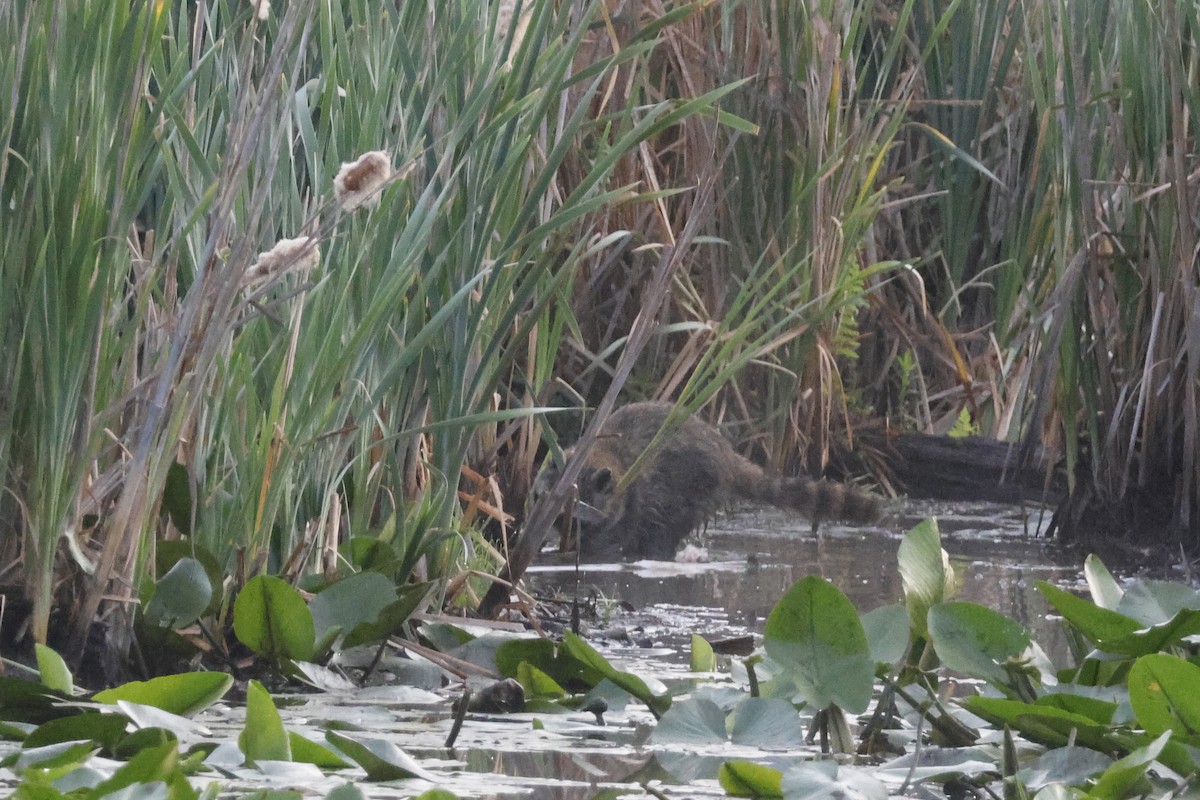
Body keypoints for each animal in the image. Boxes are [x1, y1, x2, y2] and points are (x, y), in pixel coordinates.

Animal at [538, 402, 883, 559]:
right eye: (555, 518)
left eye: (578, 520)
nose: (561, 538)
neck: (602, 455)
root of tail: (726, 453)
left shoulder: (633, 499)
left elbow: (618, 534)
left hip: (697, 486)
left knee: (663, 529)